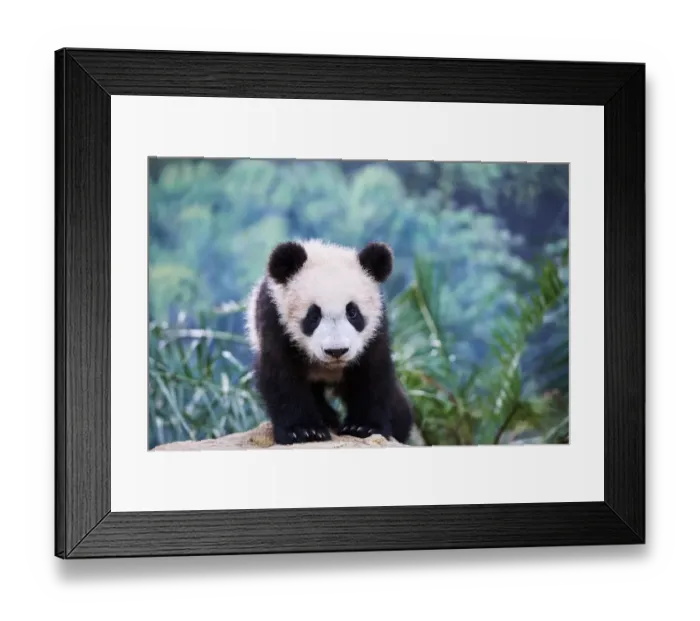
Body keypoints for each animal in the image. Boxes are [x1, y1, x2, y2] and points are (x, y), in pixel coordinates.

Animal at [245, 238, 414, 446]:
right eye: (313, 315)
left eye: (353, 312)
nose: (336, 351)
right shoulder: (275, 320)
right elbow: (281, 374)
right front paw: (304, 431)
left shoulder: (376, 329)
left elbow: (371, 372)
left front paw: (363, 427)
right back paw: (327, 418)